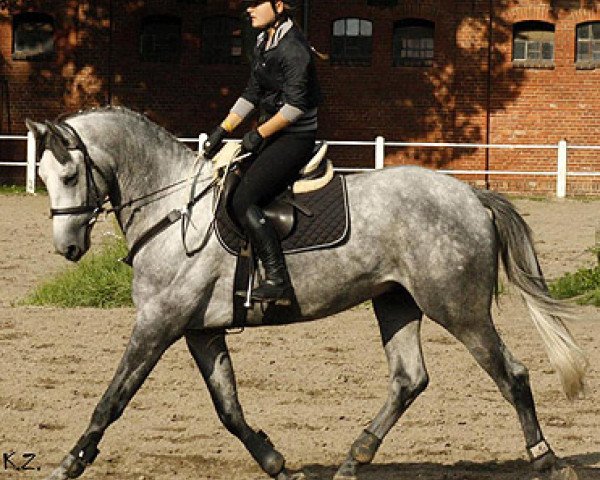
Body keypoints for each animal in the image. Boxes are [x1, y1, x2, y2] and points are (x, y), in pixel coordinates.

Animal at [27, 108, 584, 480]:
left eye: (70, 174)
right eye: (43, 175)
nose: (68, 247)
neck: (173, 209)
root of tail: (469, 193)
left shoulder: (158, 324)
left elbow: (113, 397)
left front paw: (71, 461)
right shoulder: (200, 330)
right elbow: (228, 408)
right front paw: (276, 464)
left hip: (458, 309)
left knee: (511, 373)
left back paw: (547, 460)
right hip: (395, 302)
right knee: (409, 379)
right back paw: (356, 456)